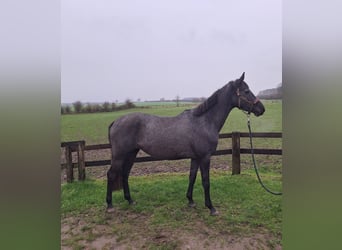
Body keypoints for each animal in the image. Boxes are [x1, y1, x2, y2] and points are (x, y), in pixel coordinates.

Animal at [106, 72, 264, 215]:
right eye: (246, 91)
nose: (261, 109)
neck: (204, 121)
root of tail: (116, 121)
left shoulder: (195, 158)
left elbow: (192, 177)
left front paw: (190, 201)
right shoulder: (205, 157)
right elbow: (206, 181)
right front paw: (211, 207)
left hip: (131, 153)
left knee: (125, 173)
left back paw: (130, 200)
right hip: (120, 155)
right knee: (111, 174)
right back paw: (109, 205)